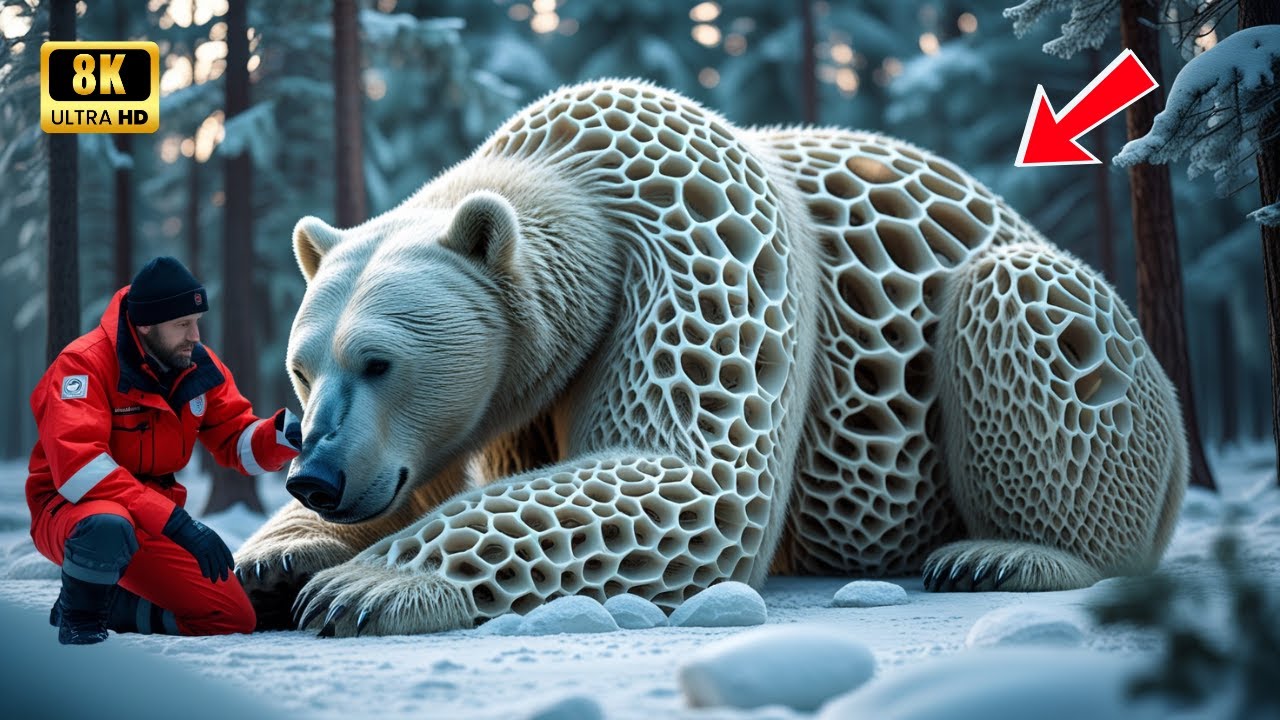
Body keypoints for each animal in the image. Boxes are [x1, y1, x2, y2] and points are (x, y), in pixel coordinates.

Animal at [234, 79, 1188, 636]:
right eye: (303, 368)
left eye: (379, 361)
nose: (314, 476)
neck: (579, 175)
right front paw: (277, 558)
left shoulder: (705, 247)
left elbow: (699, 474)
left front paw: (361, 588)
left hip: (1083, 345)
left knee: (1023, 297)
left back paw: (1006, 554)